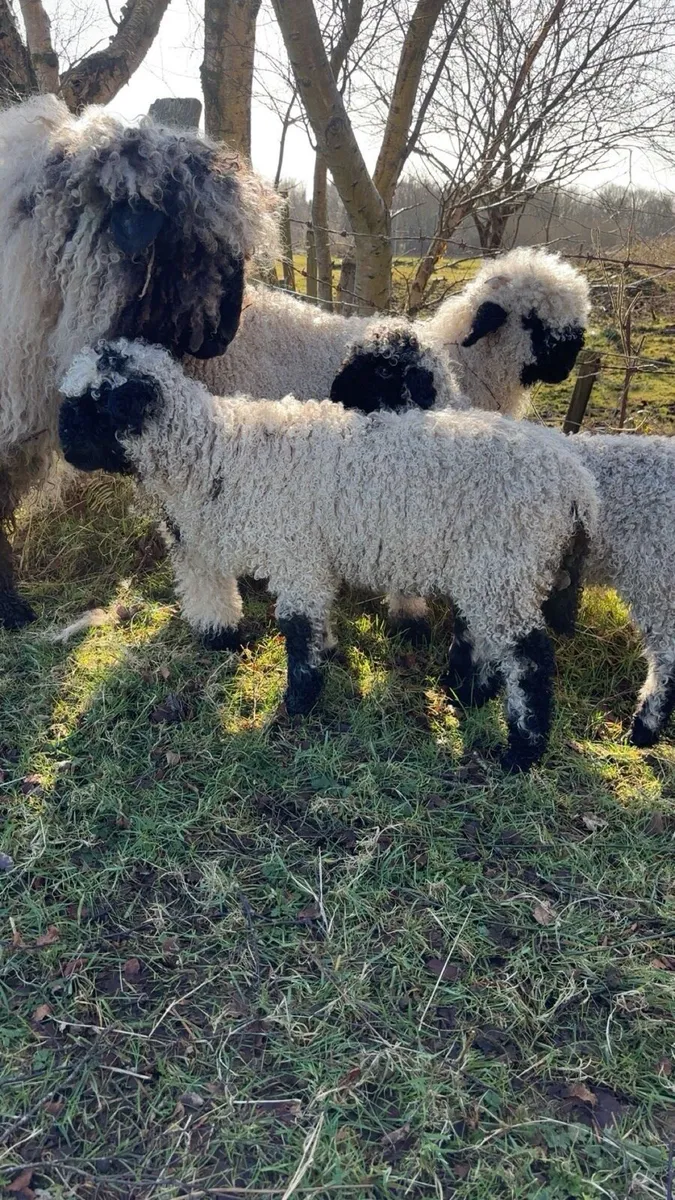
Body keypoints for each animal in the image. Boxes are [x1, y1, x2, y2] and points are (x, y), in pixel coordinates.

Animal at [58, 337, 599, 772]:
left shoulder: (294, 551)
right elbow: (224, 598)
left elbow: (299, 627)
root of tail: (574, 482)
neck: (210, 454)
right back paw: (467, 694)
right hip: (492, 569)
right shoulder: (210, 546)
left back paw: (522, 751)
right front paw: (225, 641)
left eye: (95, 405)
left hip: (506, 561)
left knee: (530, 658)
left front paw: (298, 701)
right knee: (486, 632)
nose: (64, 447)